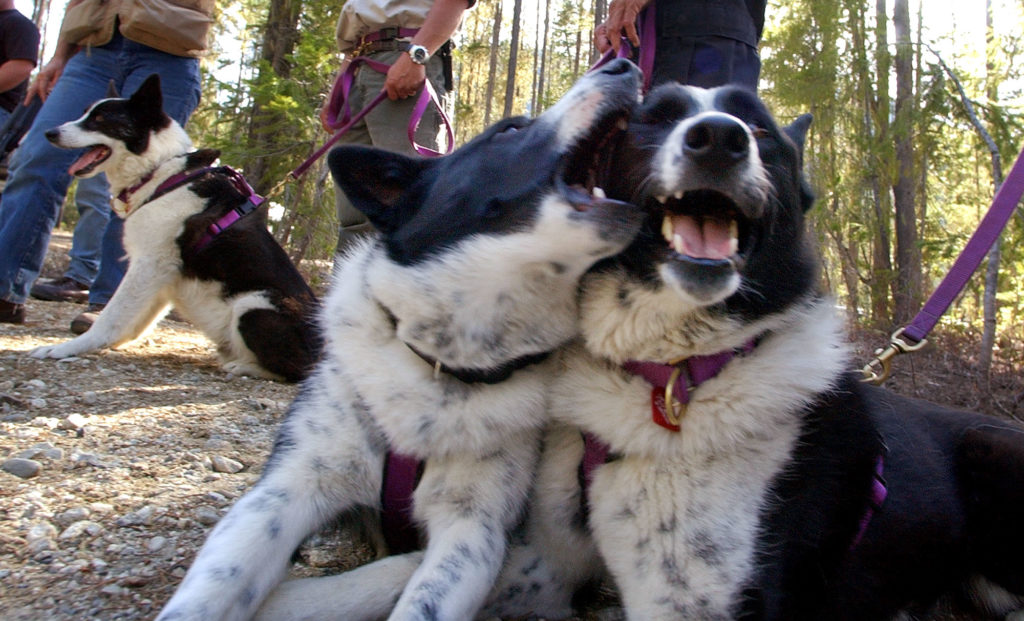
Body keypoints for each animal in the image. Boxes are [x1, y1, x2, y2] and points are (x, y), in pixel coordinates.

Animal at [29, 74, 317, 385]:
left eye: (100, 119)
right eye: (85, 113)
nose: (50, 133)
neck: (160, 173)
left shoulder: (148, 265)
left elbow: (111, 316)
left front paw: (67, 348)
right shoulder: (161, 278)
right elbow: (135, 321)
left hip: (252, 305)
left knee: (299, 371)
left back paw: (243, 367)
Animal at [155, 59, 643, 621]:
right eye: (510, 129)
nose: (625, 64)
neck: (441, 364)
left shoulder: (472, 531)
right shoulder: (283, 494)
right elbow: (212, 589)